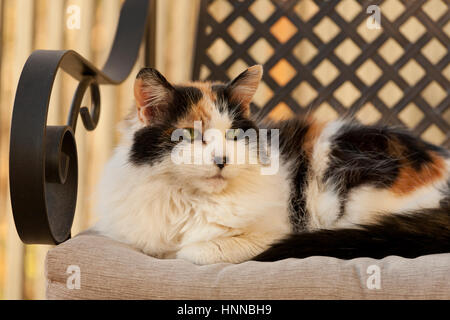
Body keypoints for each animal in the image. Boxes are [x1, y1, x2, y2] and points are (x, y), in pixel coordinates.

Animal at [92, 65, 450, 264]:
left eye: (234, 135)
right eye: (190, 135)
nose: (221, 160)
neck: (190, 201)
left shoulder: (273, 233)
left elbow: (194, 251)